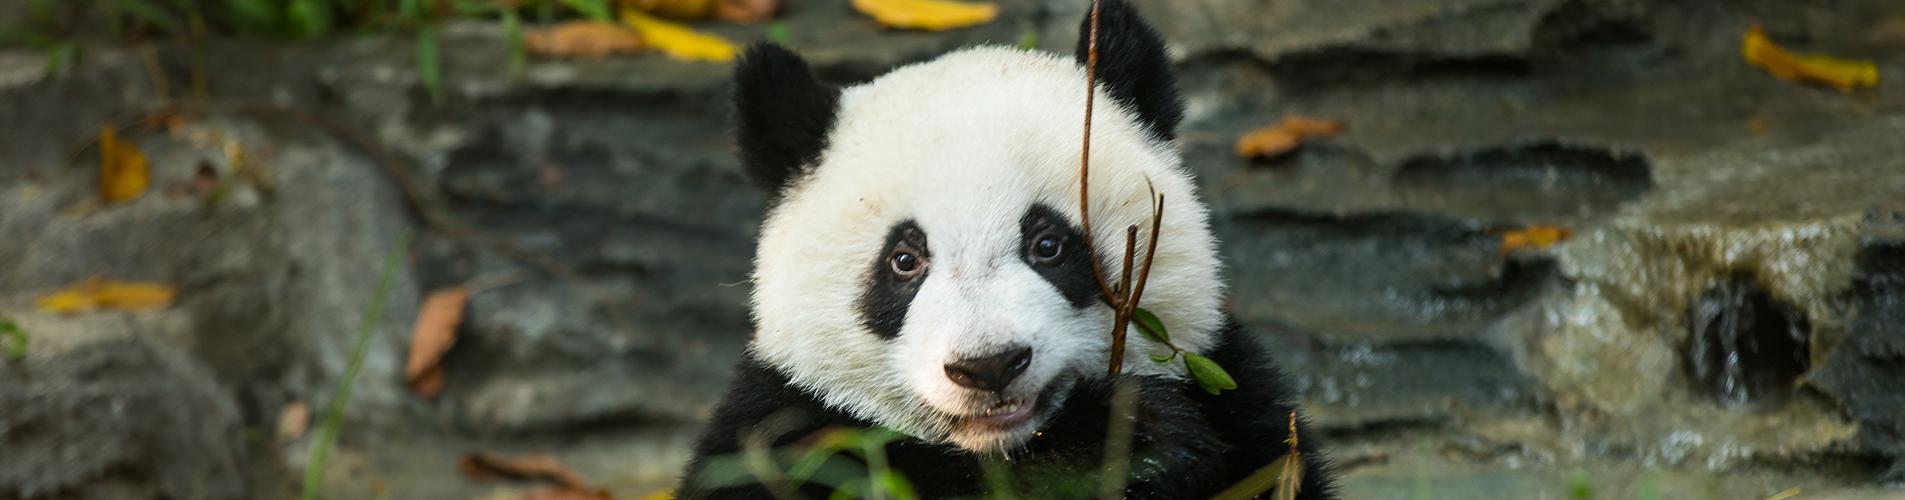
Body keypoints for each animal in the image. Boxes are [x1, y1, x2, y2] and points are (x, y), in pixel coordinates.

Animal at [679, 1, 1334, 498]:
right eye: (904, 261)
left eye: (1049, 244)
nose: (988, 366)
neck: (999, 448)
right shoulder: (782, 428)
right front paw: (1112, 444)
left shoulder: (1243, 406)